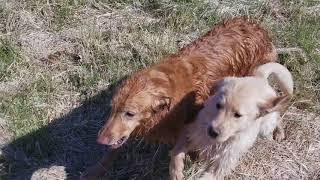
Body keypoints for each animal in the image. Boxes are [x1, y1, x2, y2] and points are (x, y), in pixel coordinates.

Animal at [80, 17, 278, 179]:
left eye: (130, 114)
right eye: (112, 108)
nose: (100, 140)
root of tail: (258, 28)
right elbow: (114, 148)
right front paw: (96, 169)